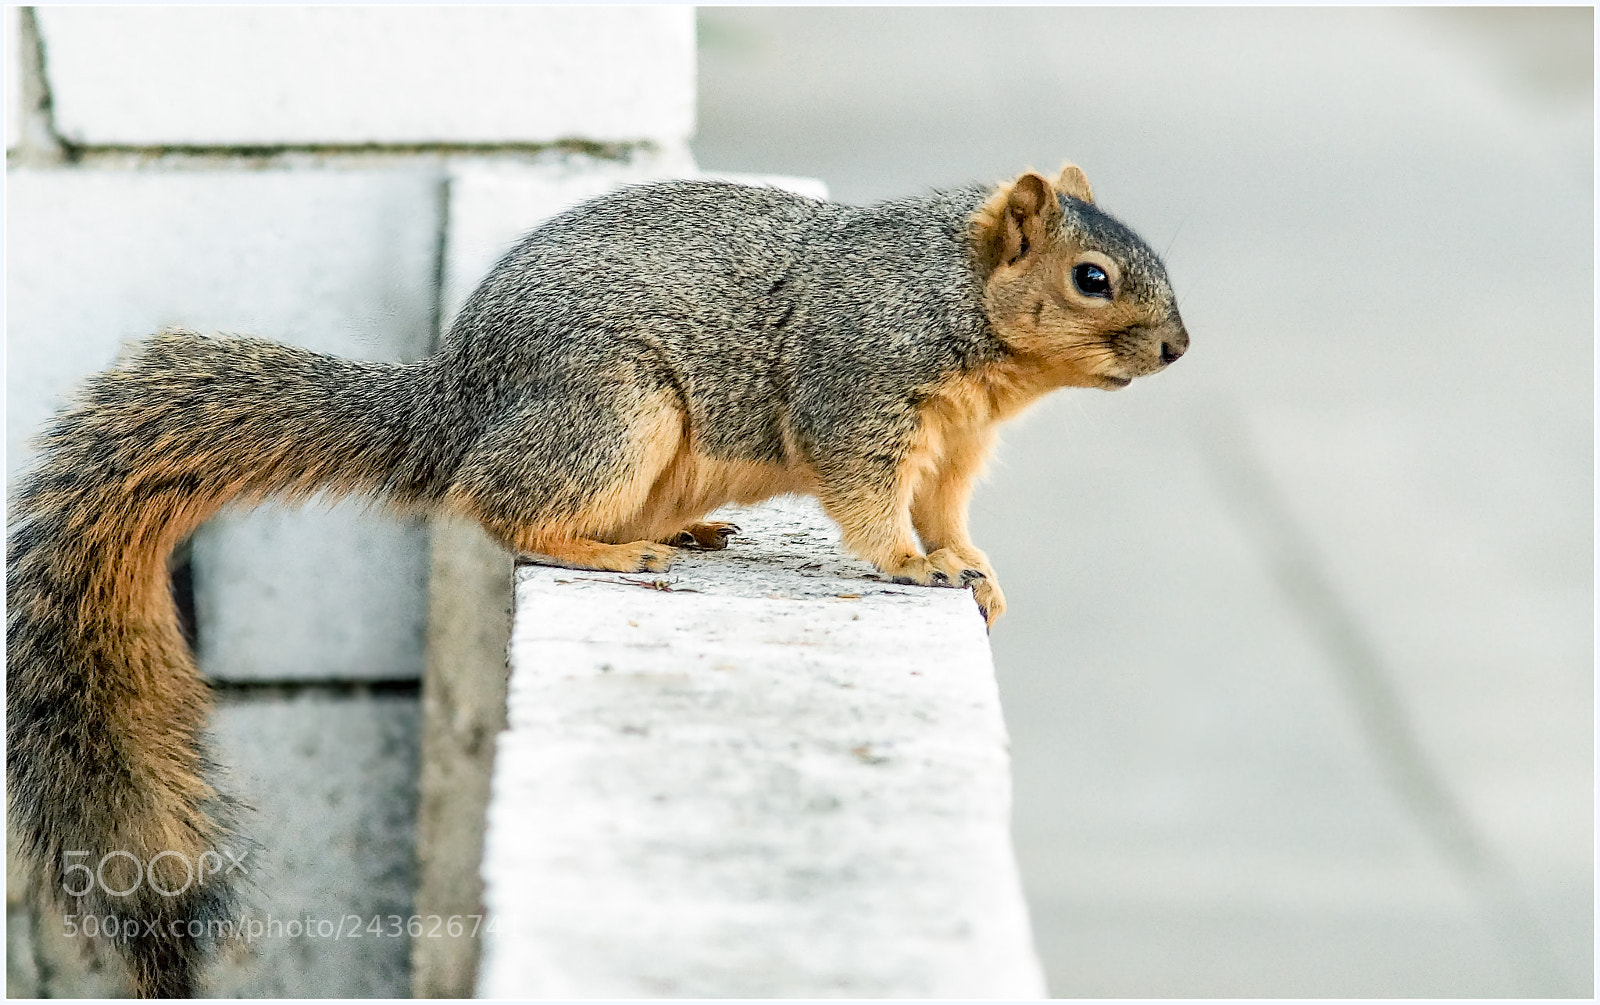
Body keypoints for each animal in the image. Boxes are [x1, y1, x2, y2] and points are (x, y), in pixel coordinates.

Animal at [7, 163, 1187, 996]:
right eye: (1091, 278)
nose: (1178, 347)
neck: (958, 304)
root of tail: (453, 406)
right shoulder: (860, 388)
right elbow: (867, 499)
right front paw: (910, 565)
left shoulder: (953, 450)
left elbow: (946, 514)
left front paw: (968, 569)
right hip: (611, 411)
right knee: (500, 506)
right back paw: (611, 549)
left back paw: (688, 530)